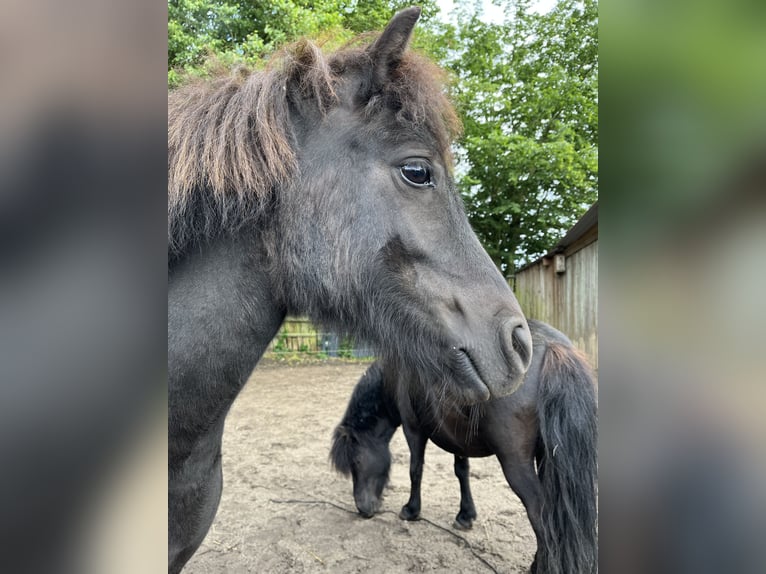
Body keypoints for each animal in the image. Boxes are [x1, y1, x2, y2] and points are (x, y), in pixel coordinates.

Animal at [330, 320, 600, 574]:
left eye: (355, 461)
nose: (362, 509)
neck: (396, 375)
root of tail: (552, 346)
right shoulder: (458, 436)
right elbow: (462, 471)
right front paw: (465, 516)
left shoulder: (413, 429)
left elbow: (415, 470)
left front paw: (411, 510)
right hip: (548, 458)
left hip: (515, 463)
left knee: (540, 513)